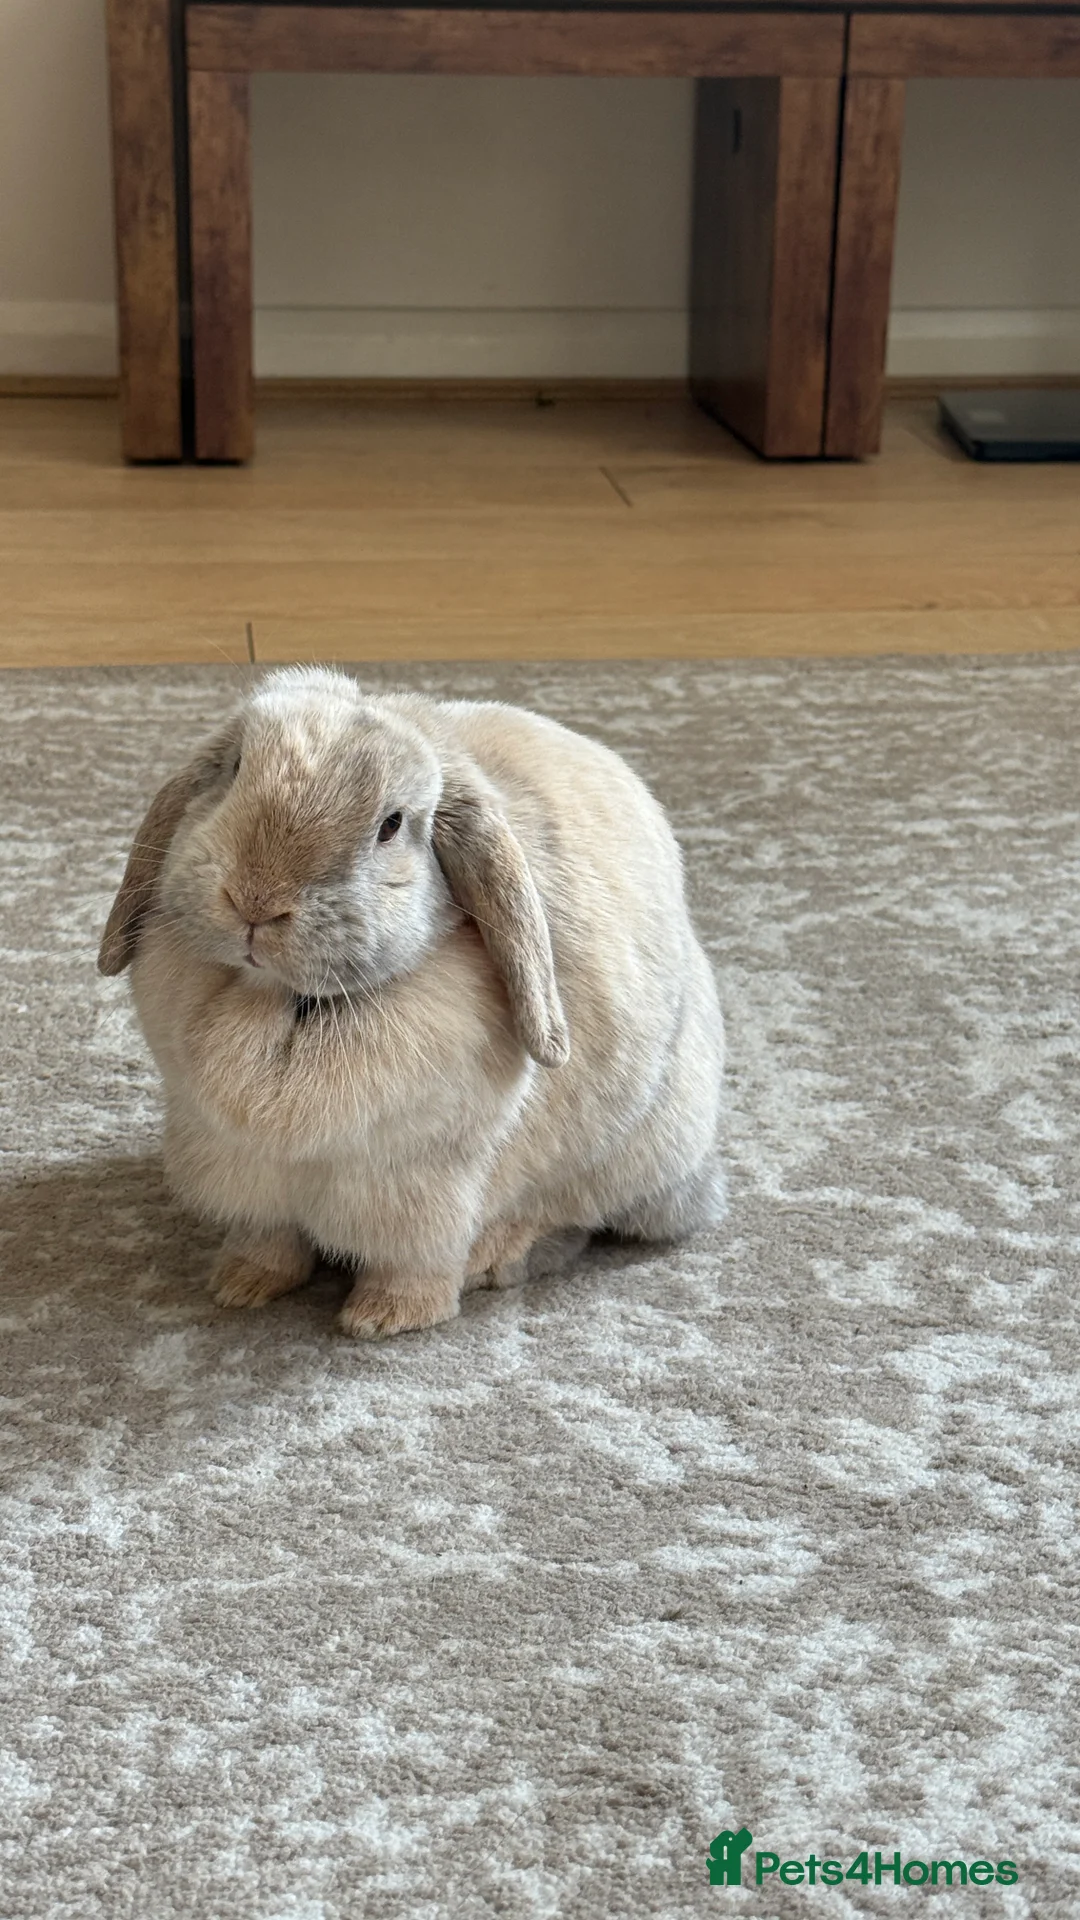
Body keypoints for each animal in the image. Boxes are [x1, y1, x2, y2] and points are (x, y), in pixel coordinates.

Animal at [98, 667, 725, 1338]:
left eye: (392, 825)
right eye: (236, 769)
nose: (255, 901)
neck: (289, 1003)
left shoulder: (422, 1187)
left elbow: (415, 1262)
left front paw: (383, 1319)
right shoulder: (243, 1170)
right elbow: (270, 1239)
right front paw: (241, 1285)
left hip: (624, 1152)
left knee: (571, 1217)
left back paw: (495, 1258)